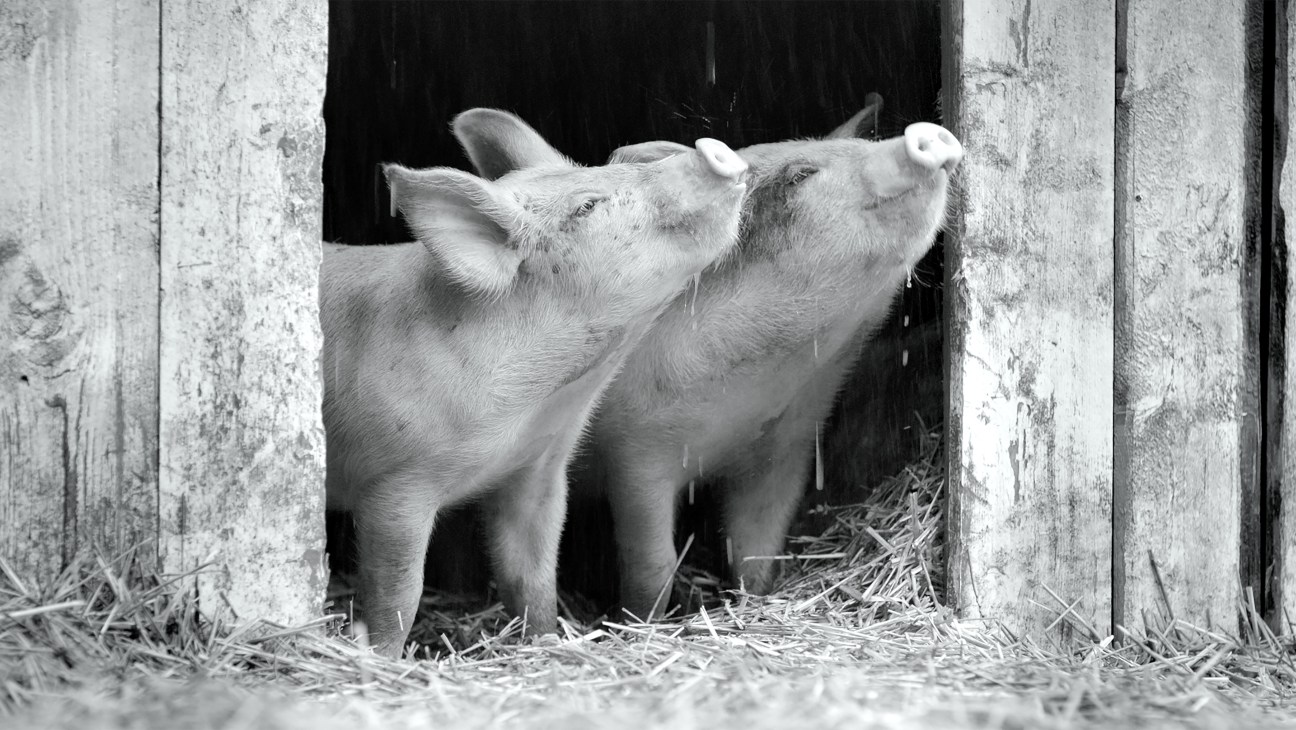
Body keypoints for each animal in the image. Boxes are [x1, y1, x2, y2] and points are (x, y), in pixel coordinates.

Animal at [321, 108, 748, 656]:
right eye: (587, 205)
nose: (709, 148)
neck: (532, 406)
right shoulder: (394, 483)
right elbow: (396, 593)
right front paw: (383, 658)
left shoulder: (537, 470)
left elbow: (532, 575)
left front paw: (548, 643)